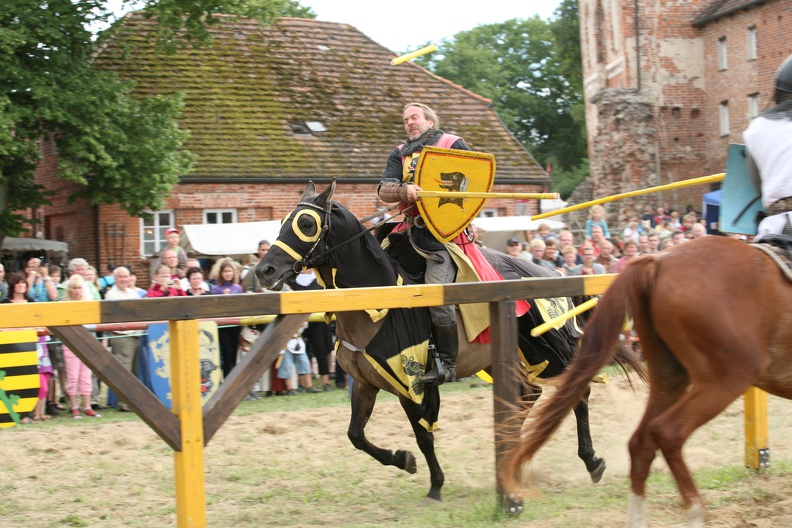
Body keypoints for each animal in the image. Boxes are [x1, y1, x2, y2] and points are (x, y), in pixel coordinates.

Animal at [502, 236, 792, 528]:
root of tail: (656, 262)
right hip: (727, 377)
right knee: (666, 431)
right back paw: (693, 511)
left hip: (670, 377)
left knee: (637, 438)